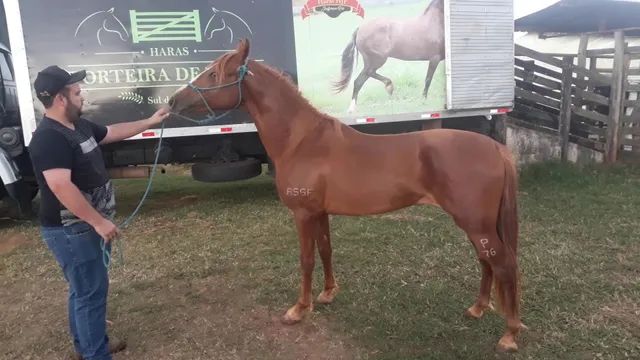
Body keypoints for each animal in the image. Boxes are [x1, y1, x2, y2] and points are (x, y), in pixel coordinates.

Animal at [169, 39, 524, 352]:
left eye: (213, 74)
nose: (172, 101)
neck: (302, 142)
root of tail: (496, 148)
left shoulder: (303, 214)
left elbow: (307, 259)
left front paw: (299, 309)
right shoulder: (320, 213)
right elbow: (326, 250)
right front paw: (328, 294)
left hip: (476, 224)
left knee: (504, 264)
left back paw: (509, 335)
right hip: (476, 225)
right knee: (486, 261)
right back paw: (477, 309)